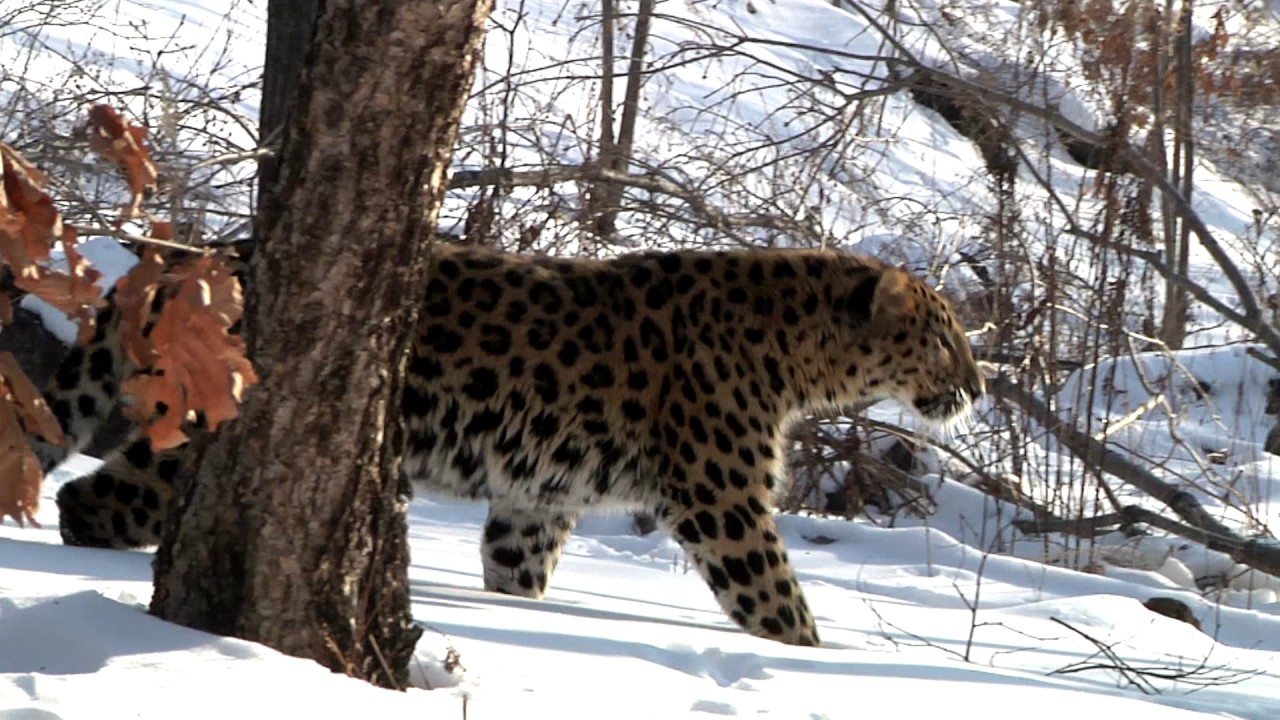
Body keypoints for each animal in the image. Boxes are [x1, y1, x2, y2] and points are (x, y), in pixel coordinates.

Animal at [43, 245, 985, 647]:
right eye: (944, 338)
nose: (977, 389)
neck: (800, 355)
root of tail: (187, 258)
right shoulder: (723, 502)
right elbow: (779, 603)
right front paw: (817, 660)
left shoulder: (539, 498)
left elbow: (517, 573)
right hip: (196, 425)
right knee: (90, 498)